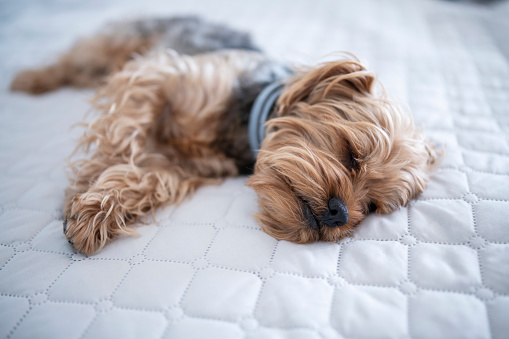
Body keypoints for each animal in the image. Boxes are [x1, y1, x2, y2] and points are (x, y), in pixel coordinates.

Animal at [11, 15, 438, 255]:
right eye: (351, 153)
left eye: (373, 207)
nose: (341, 212)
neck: (241, 124)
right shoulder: (156, 76)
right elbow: (123, 138)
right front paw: (82, 188)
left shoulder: (178, 165)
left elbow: (144, 178)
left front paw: (97, 209)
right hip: (117, 43)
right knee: (74, 61)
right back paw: (30, 78)